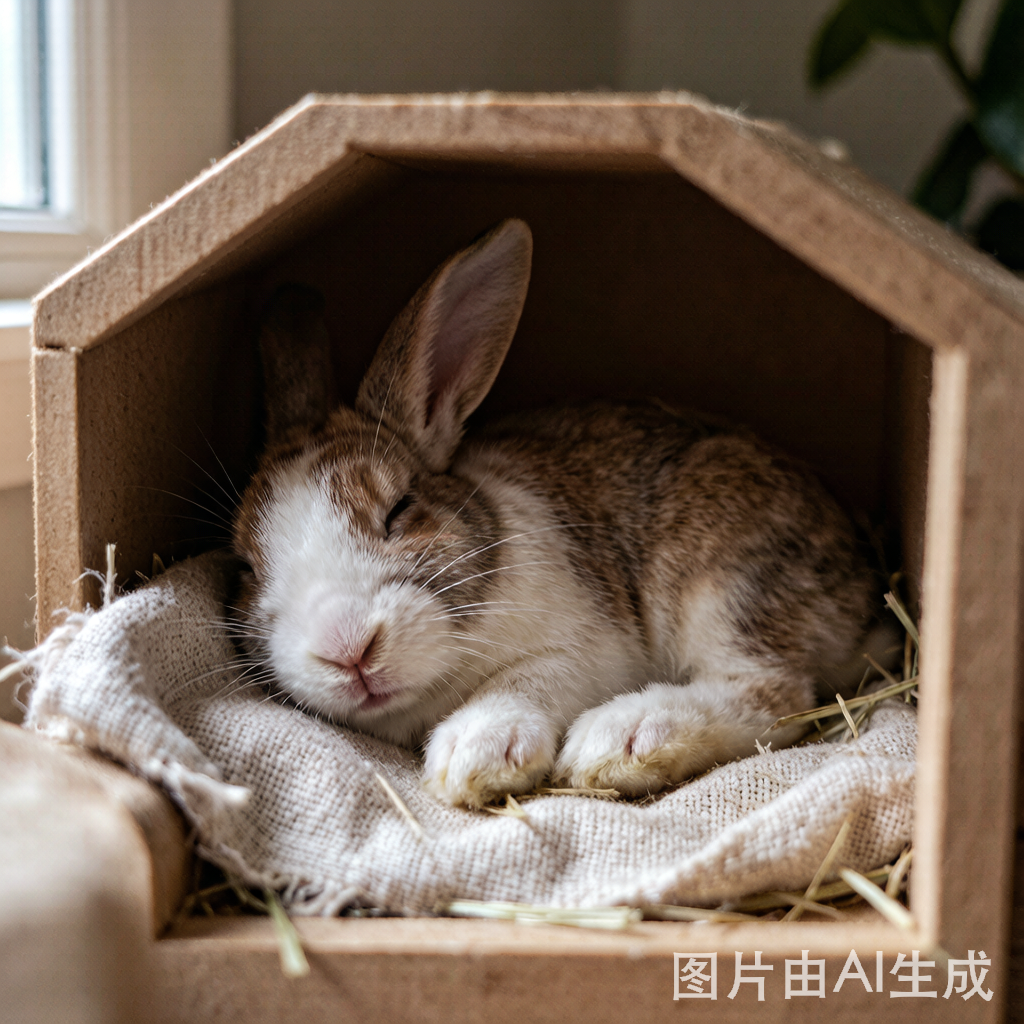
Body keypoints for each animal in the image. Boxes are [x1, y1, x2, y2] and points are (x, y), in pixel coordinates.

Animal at [231, 218, 873, 808]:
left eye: (399, 510)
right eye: (246, 567)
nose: (347, 650)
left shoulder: (589, 648)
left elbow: (530, 678)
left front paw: (474, 756)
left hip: (722, 580)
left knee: (773, 695)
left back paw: (620, 740)